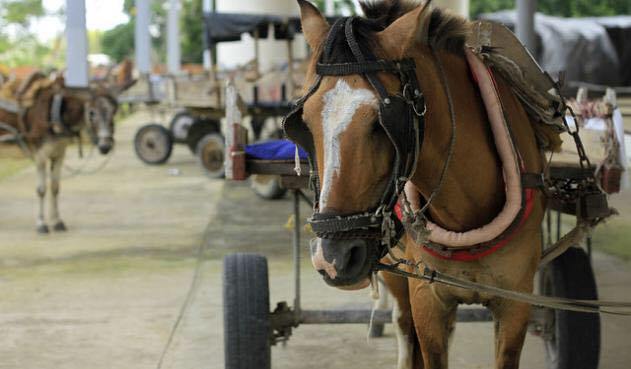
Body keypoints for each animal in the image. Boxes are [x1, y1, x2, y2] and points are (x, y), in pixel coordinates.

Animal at [0, 72, 119, 231]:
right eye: (92, 113)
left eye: (114, 111)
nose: (105, 146)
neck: (55, 110)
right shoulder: (40, 155)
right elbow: (41, 189)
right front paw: (41, 224)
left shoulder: (59, 153)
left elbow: (55, 188)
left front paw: (57, 222)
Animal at [296, 0, 548, 368]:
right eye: (302, 121)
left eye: (382, 123)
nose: (332, 258)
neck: (464, 213)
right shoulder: (425, 296)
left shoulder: (515, 300)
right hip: (391, 268)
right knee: (403, 323)